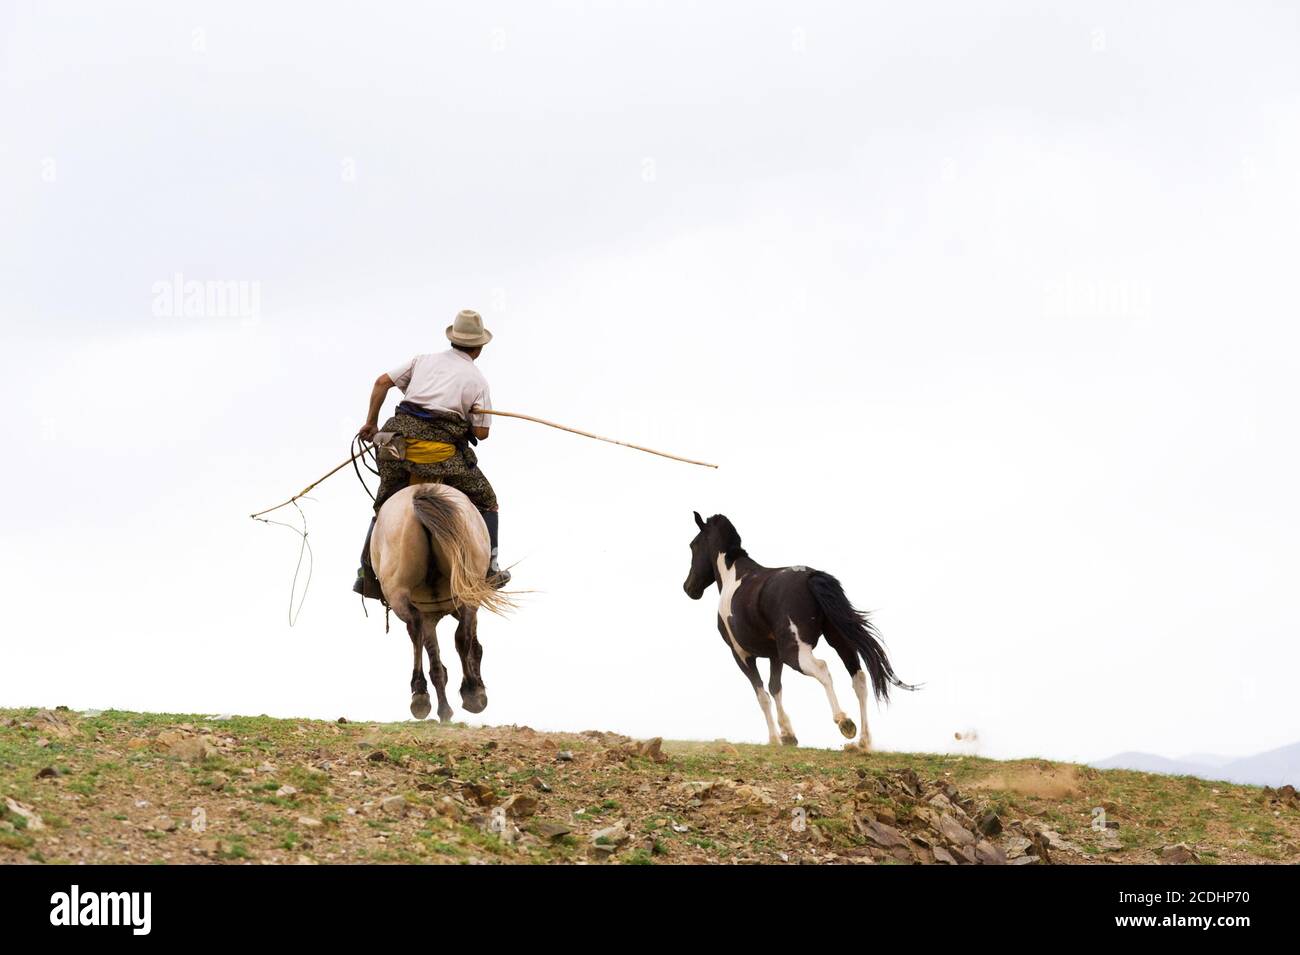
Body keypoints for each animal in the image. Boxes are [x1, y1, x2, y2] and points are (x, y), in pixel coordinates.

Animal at [371, 480, 512, 722]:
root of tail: (419, 494)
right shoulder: (443, 610)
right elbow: (463, 647)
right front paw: (471, 691)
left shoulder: (428, 613)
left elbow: (436, 660)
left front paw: (444, 706)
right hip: (464, 591)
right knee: (459, 637)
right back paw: (469, 692)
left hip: (401, 594)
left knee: (417, 630)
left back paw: (421, 694)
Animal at [681, 511, 915, 748]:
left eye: (693, 545)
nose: (689, 588)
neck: (734, 577)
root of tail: (811, 577)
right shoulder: (774, 656)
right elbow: (775, 688)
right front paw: (788, 735)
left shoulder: (742, 655)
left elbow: (762, 694)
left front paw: (774, 739)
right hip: (840, 642)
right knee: (858, 678)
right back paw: (864, 741)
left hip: (794, 652)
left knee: (823, 669)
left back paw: (844, 722)